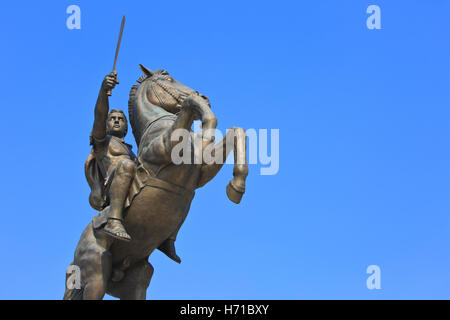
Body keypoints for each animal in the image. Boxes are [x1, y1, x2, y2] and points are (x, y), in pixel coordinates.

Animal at [63, 65, 248, 300]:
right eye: (167, 77)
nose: (206, 97)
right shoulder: (165, 147)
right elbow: (191, 106)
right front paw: (206, 124)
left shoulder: (200, 176)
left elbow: (237, 132)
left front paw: (236, 187)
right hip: (96, 276)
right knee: (126, 167)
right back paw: (116, 228)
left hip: (138, 279)